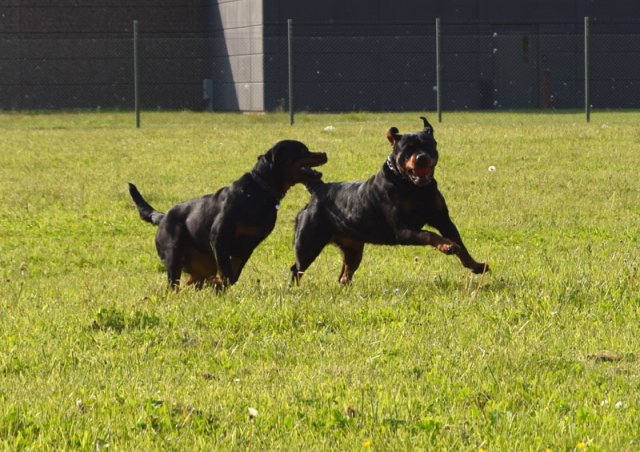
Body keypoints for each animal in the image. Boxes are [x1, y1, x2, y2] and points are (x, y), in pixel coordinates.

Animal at [131, 139, 330, 292]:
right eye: (302, 150)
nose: (324, 153)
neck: (259, 191)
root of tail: (163, 217)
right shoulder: (219, 238)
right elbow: (227, 273)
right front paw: (220, 285)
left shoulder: (247, 247)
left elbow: (233, 274)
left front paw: (219, 286)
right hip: (173, 253)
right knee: (174, 284)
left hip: (203, 265)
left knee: (193, 282)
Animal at [292, 118, 488, 284]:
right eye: (407, 149)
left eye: (428, 145)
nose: (421, 157)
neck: (414, 188)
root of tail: (318, 189)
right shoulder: (403, 230)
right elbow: (429, 234)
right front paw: (447, 246)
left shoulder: (443, 220)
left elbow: (461, 245)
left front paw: (476, 265)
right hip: (308, 243)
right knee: (297, 268)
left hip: (352, 248)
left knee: (344, 274)